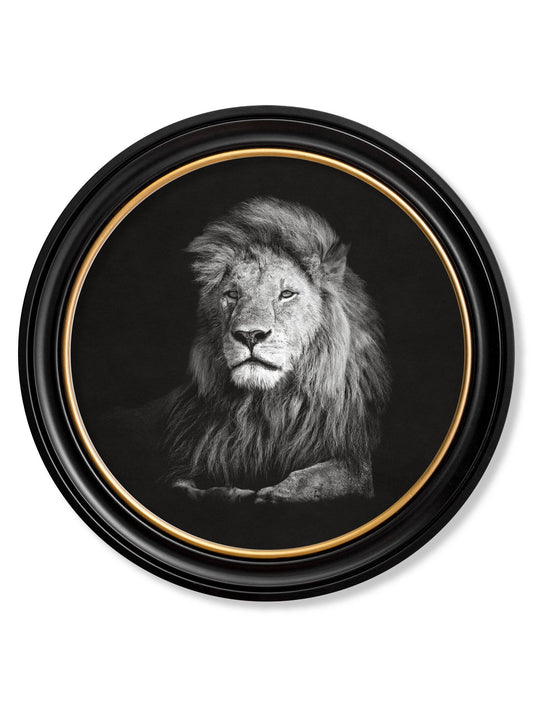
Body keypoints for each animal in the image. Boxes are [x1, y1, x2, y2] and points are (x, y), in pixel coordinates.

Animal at [160, 197, 390, 504]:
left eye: (286, 294)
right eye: (232, 294)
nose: (249, 335)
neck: (268, 407)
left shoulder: (355, 460)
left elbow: (325, 477)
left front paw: (275, 494)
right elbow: (180, 486)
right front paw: (229, 492)